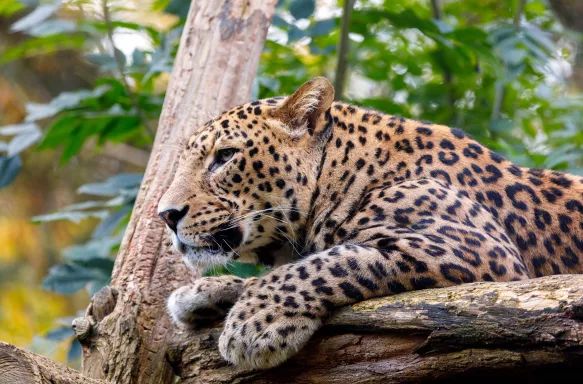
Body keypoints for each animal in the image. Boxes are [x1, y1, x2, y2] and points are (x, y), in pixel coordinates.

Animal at [156, 76, 583, 368]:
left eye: (225, 156)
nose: (166, 215)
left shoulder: (479, 252)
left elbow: (324, 263)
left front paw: (255, 322)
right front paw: (203, 293)